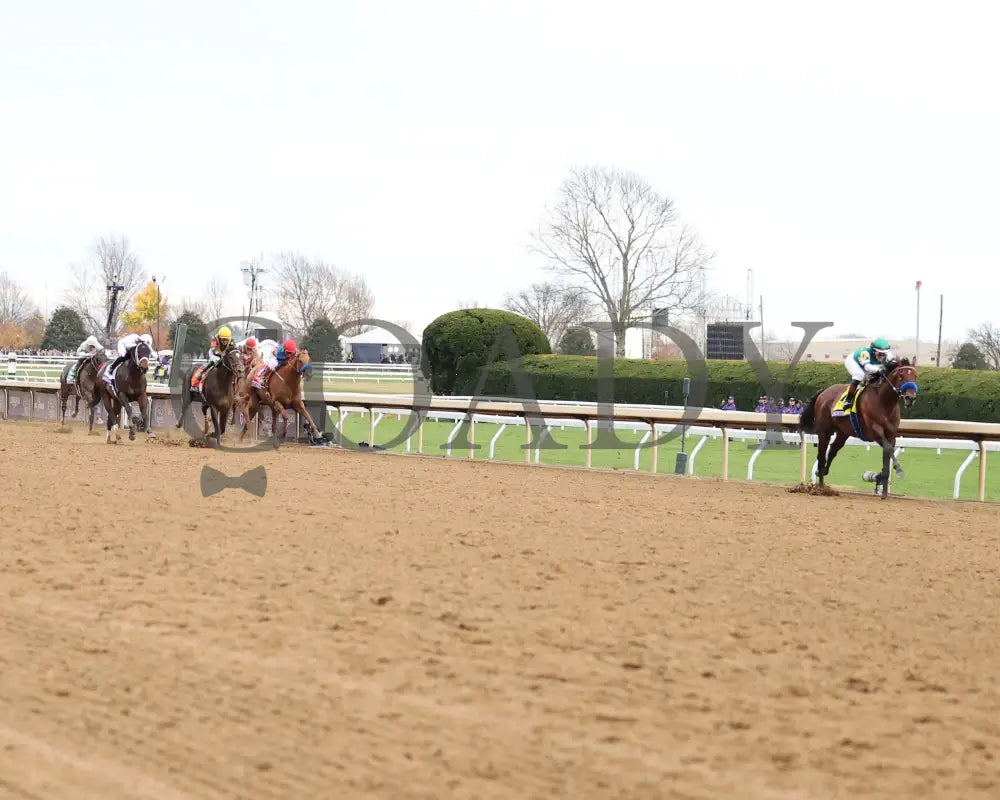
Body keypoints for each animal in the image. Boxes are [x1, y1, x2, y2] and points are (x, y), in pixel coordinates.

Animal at [796, 360, 920, 496]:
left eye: (915, 376)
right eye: (901, 376)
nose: (910, 397)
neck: (884, 402)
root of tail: (824, 392)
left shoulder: (891, 435)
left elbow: (887, 454)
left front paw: (882, 485)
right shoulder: (875, 431)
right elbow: (888, 449)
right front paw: (897, 471)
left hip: (842, 432)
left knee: (833, 450)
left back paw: (823, 472)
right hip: (825, 431)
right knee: (822, 455)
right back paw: (821, 487)